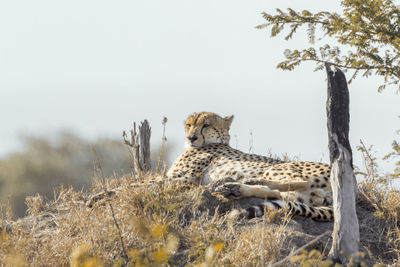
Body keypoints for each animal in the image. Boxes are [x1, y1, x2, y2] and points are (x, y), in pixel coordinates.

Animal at [167, 111, 332, 222]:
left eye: (206, 125)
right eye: (189, 125)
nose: (191, 138)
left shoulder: (180, 178)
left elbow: (162, 181)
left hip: (277, 168)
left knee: (295, 183)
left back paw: (240, 183)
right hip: (303, 197)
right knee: (280, 194)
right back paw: (235, 189)